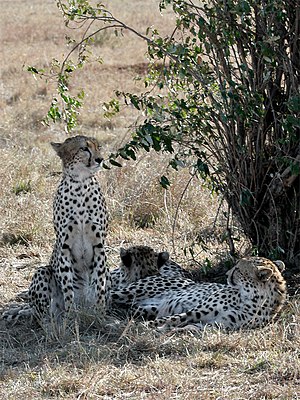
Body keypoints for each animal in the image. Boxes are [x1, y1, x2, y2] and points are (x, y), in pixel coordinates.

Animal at [2, 136, 110, 324]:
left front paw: (100, 315)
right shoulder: (64, 247)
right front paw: (70, 317)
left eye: (99, 147)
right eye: (84, 148)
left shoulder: (99, 246)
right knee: (40, 313)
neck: (80, 184)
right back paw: (52, 322)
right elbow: (67, 288)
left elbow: (99, 286)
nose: (100, 159)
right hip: (42, 272)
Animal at [110, 258, 286, 330]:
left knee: (133, 309)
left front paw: (168, 330)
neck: (252, 299)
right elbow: (170, 319)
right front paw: (145, 326)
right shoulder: (196, 311)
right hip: (131, 291)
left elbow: (189, 327)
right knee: (108, 294)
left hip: (146, 307)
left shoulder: (215, 325)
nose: (227, 274)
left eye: (237, 269)